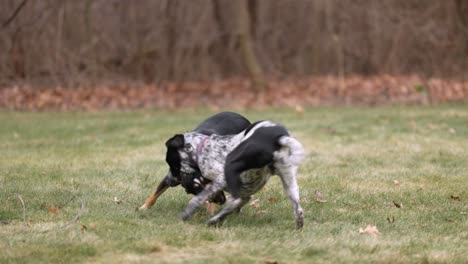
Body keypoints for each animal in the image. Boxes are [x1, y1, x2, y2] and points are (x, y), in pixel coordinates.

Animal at [138, 111, 308, 229]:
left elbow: (202, 198)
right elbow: (155, 194)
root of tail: (279, 138)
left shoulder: (218, 179)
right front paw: (144, 207)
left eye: (171, 162)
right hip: (288, 182)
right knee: (297, 208)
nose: (173, 180)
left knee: (236, 200)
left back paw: (213, 218)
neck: (201, 148)